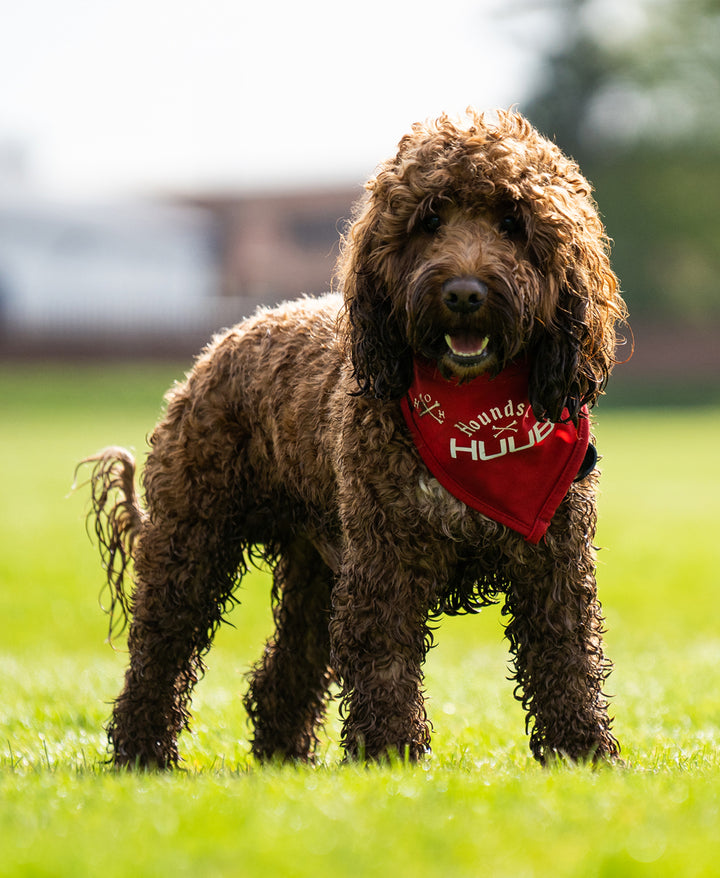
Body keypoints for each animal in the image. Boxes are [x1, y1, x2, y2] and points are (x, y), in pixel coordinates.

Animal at [81, 111, 628, 768]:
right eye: (430, 220)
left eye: (512, 222)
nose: (464, 293)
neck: (477, 426)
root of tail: (222, 342)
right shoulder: (383, 560)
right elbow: (385, 659)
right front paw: (390, 755)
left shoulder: (553, 561)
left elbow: (566, 657)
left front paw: (584, 754)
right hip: (195, 537)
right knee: (161, 648)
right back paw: (142, 755)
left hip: (316, 563)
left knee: (287, 665)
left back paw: (282, 756)